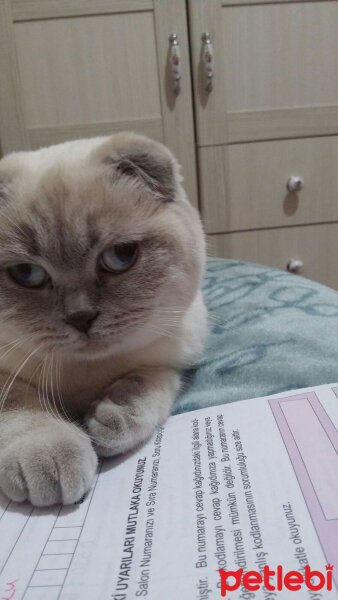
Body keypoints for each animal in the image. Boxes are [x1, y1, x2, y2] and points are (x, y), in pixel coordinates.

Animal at [0, 132, 207, 506]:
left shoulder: (167, 357)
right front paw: (49, 455)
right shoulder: (6, 377)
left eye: (120, 256)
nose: (81, 317)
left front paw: (112, 417)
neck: (85, 377)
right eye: (26, 273)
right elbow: (21, 406)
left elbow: (144, 385)